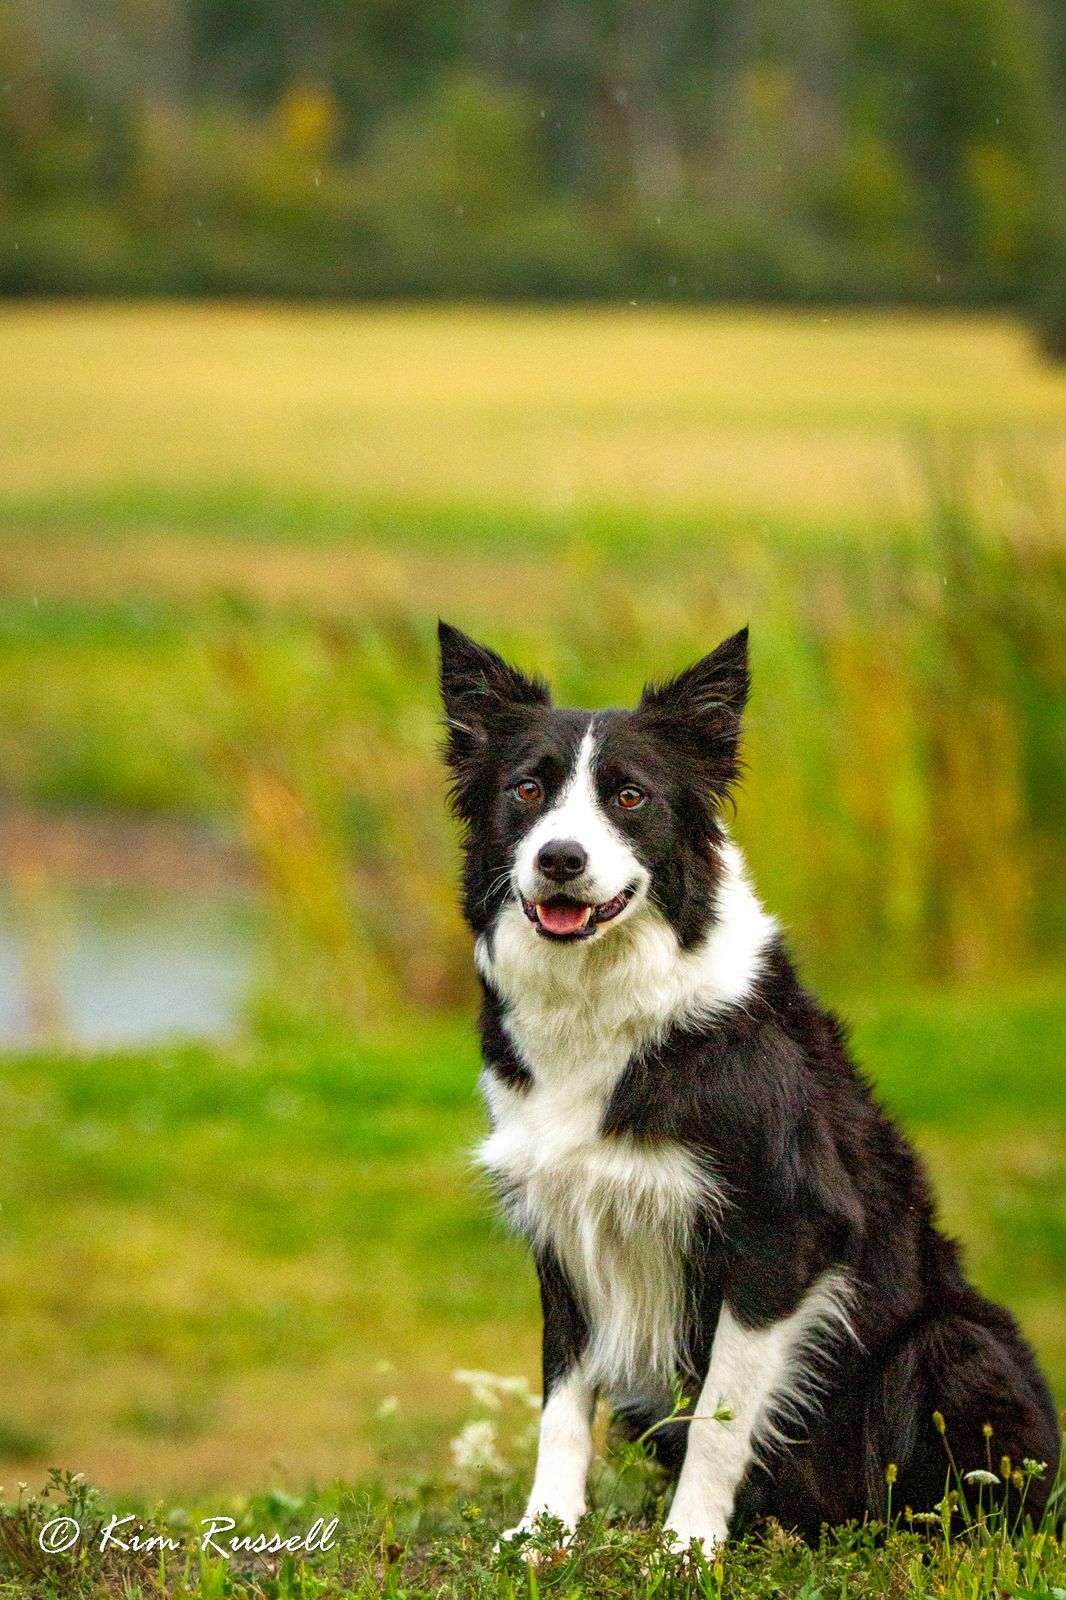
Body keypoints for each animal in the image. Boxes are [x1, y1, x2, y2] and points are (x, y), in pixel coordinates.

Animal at [438, 619, 1060, 1552]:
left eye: (630, 797)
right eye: (527, 789)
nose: (560, 859)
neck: (606, 996)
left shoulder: (785, 1227)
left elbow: (723, 1418)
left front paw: (688, 1546)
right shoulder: (565, 1218)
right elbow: (561, 1398)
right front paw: (546, 1533)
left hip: (953, 1341)